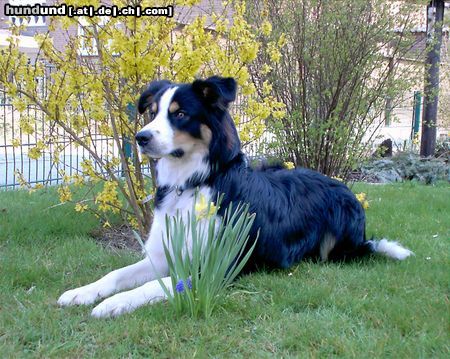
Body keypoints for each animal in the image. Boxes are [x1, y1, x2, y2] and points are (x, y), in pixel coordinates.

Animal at [58, 76, 414, 318]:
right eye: (153, 113)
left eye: (181, 114)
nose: (140, 138)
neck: (193, 184)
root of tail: (342, 186)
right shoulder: (162, 255)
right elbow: (116, 274)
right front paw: (82, 293)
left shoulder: (218, 265)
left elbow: (155, 285)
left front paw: (113, 304)